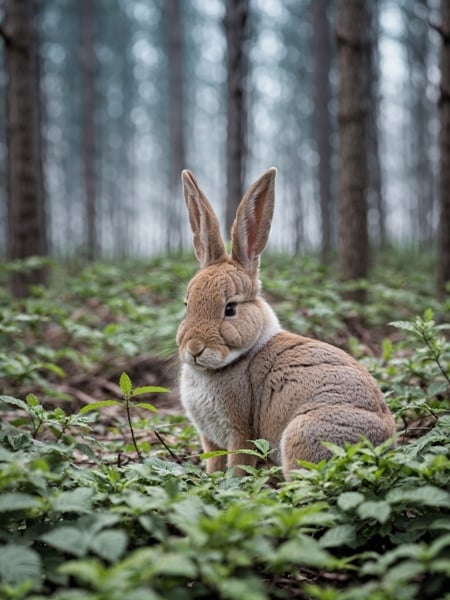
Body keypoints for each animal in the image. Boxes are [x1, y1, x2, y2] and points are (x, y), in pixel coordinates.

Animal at [178, 166, 396, 476]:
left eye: (230, 309)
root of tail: (384, 445)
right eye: (187, 305)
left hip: (301, 434)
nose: (194, 349)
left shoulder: (240, 431)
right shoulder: (211, 439)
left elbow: (238, 467)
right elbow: (215, 465)